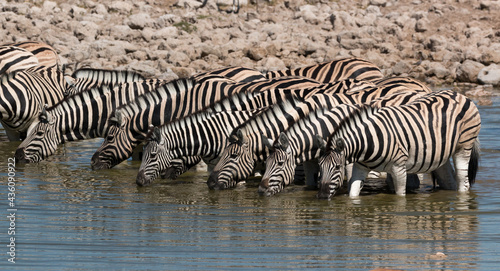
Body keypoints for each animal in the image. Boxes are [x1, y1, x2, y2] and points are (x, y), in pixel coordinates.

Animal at [314, 90, 482, 199]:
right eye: (320, 166)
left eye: (337, 167)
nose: (321, 196)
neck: (367, 142)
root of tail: (459, 94)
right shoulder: (360, 168)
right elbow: (353, 193)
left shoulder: (399, 167)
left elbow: (400, 198)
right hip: (440, 154)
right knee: (448, 179)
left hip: (464, 145)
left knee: (463, 180)